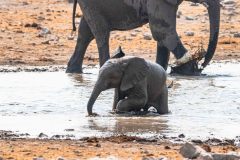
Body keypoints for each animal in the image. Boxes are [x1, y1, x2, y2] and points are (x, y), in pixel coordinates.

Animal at [66, 0, 220, 75]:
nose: (202, 65)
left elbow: (162, 35)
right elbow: (162, 31)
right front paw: (190, 71)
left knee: (85, 33)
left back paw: (73, 71)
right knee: (101, 33)